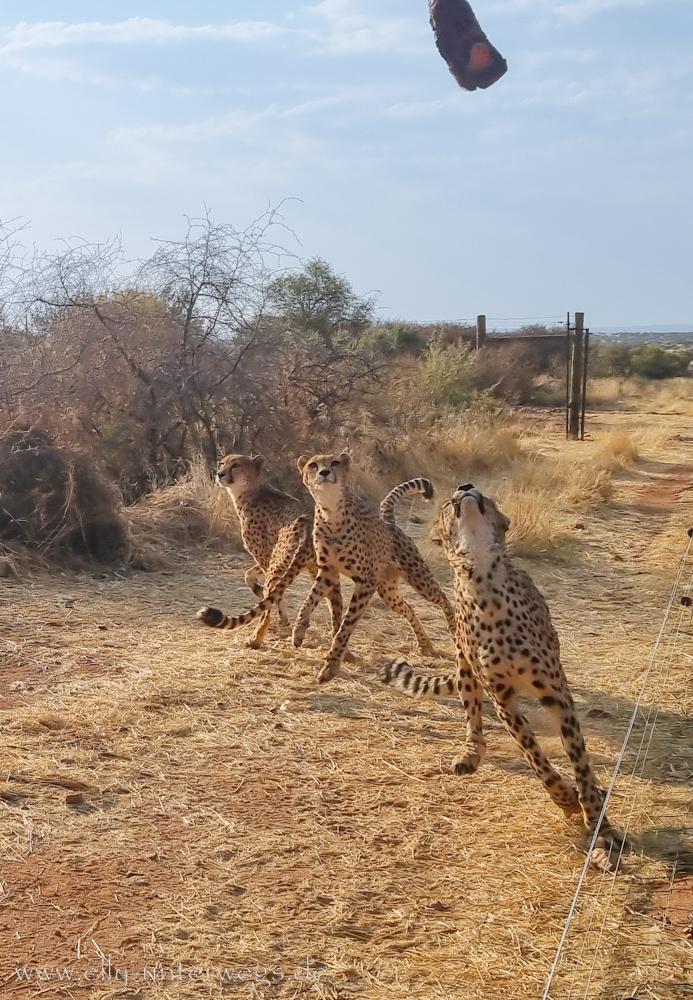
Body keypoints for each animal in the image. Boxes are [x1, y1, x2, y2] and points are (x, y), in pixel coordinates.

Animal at [382, 484, 620, 844]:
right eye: (449, 503)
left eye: (485, 497)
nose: (465, 487)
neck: (482, 577)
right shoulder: (502, 697)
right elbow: (534, 756)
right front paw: (566, 798)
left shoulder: (556, 692)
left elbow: (579, 758)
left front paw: (596, 818)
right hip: (465, 669)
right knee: (472, 716)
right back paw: (470, 753)